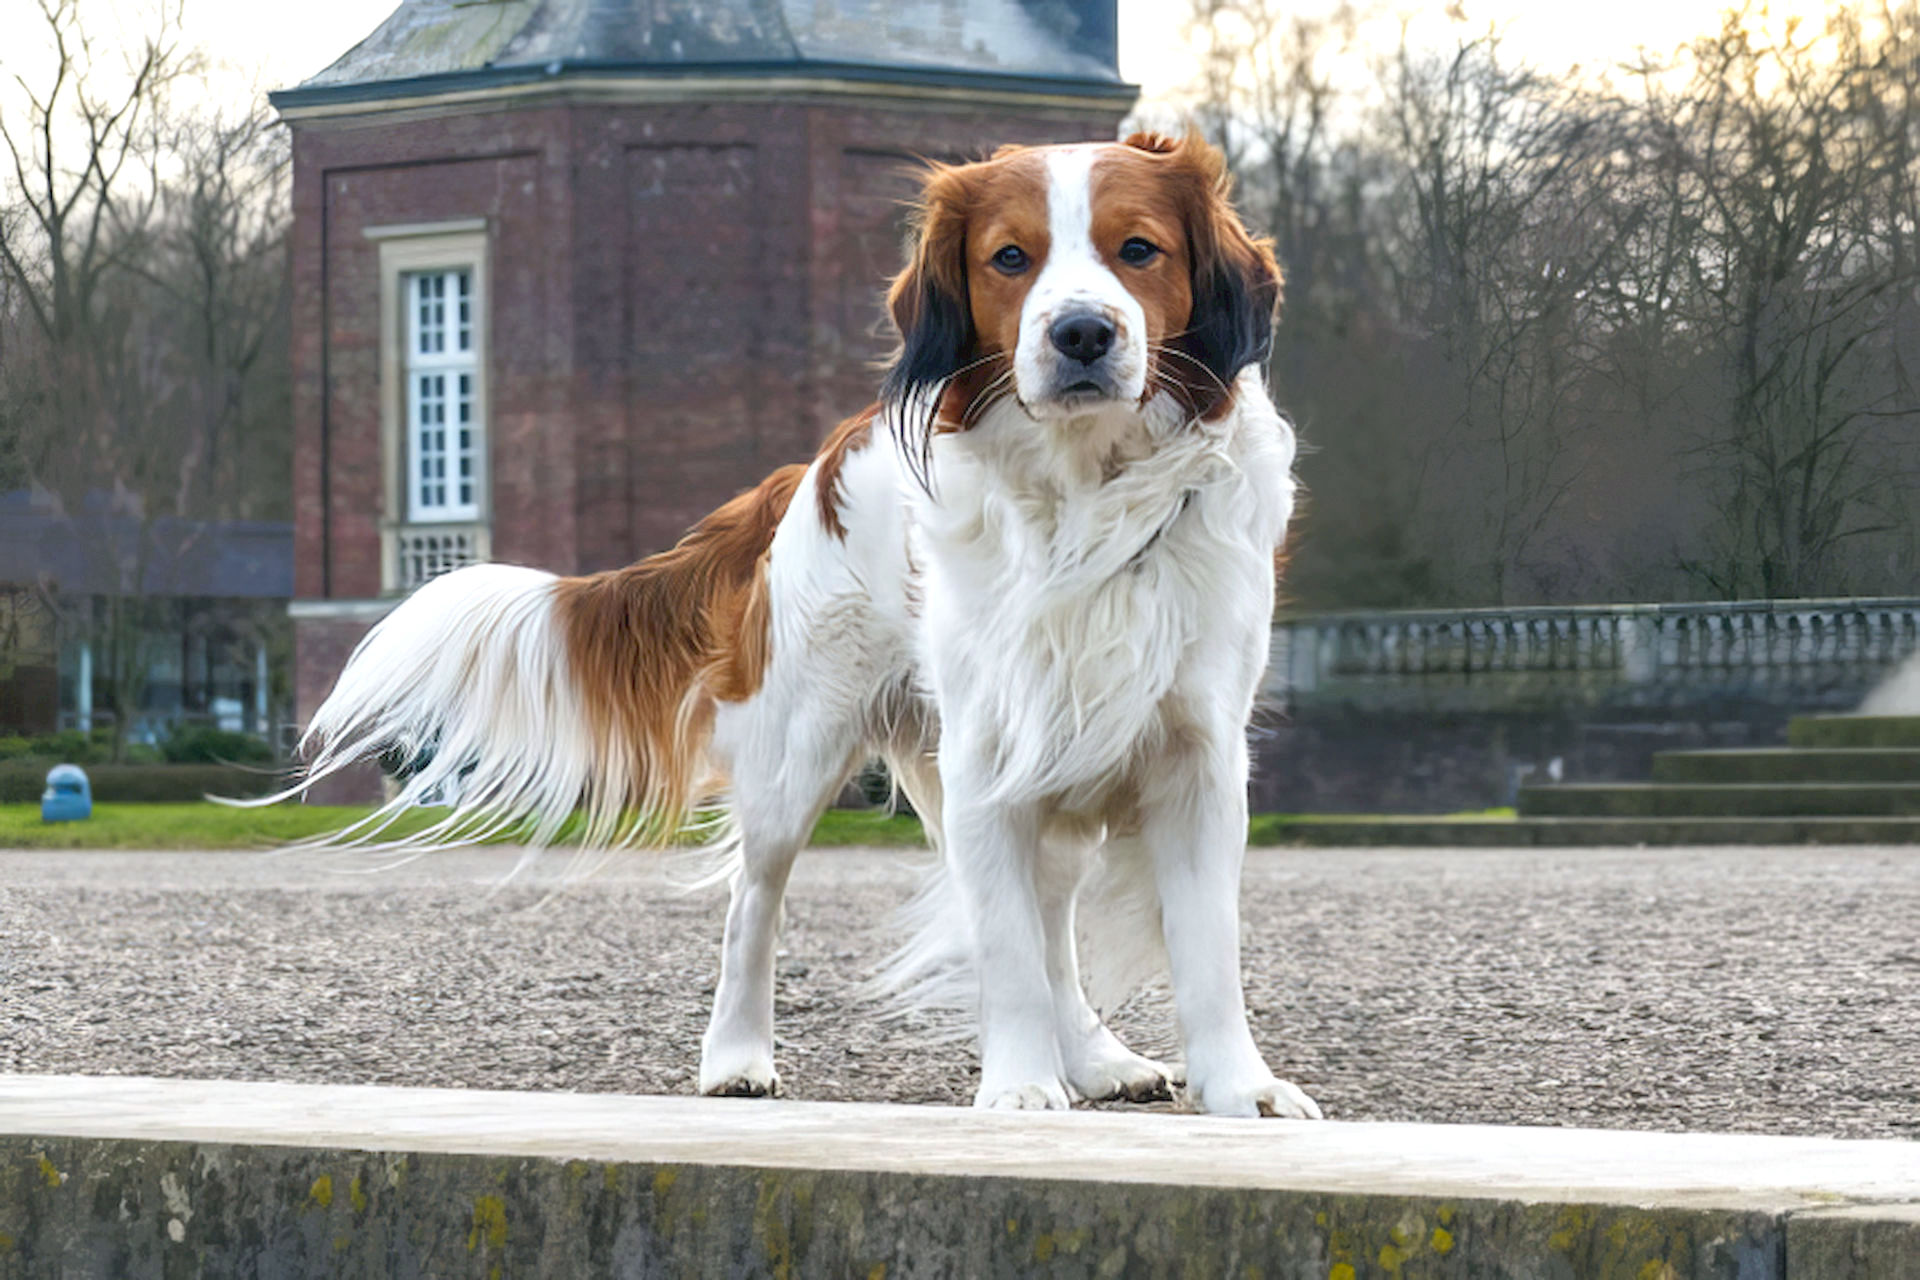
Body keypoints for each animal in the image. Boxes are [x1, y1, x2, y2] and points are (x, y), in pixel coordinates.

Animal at [284, 127, 1320, 1113]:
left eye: (1138, 249)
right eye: (1010, 258)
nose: (1081, 333)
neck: (1085, 501)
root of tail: (815, 460)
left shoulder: (1197, 760)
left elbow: (1205, 950)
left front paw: (1241, 1090)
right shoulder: (986, 756)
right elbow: (1009, 951)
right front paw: (1021, 1086)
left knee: (1051, 926)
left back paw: (1100, 1060)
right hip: (799, 753)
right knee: (756, 901)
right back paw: (738, 1059)